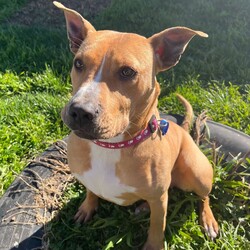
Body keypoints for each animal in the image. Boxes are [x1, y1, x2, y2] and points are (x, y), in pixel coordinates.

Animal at [53, 2, 218, 250]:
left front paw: (153, 245)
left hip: (196, 173)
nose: (80, 111)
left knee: (203, 196)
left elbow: (157, 227)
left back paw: (208, 220)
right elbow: (91, 191)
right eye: (78, 63)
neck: (110, 146)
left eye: (127, 71)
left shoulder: (159, 200)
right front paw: (87, 207)